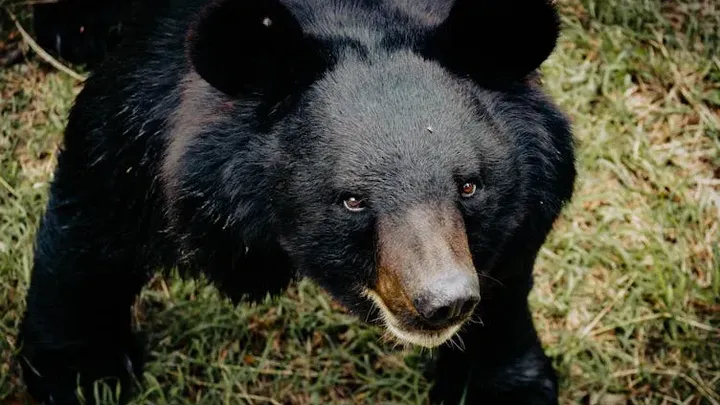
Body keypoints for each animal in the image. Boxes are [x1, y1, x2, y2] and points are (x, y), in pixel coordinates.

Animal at [17, 0, 577, 404]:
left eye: (469, 186)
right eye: (351, 200)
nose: (444, 303)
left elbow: (509, 262)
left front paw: (504, 386)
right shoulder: (148, 104)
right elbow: (97, 214)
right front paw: (82, 374)